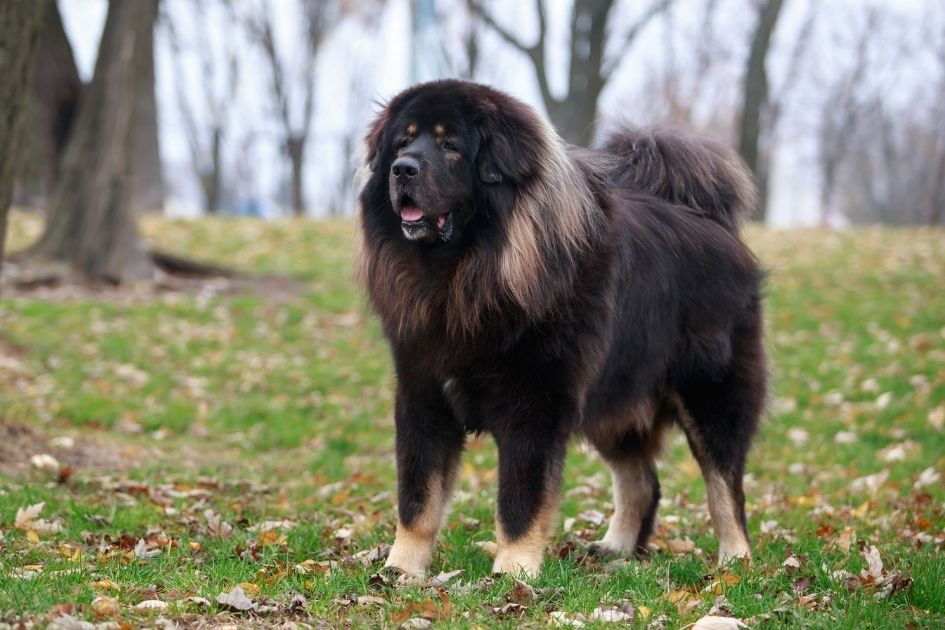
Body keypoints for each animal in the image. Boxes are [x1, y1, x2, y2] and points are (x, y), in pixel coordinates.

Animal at [358, 80, 764, 584]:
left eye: (450, 145)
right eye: (403, 143)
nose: (403, 169)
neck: (463, 276)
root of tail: (713, 224)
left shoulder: (536, 406)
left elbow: (520, 501)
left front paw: (512, 572)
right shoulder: (423, 397)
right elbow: (417, 498)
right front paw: (400, 570)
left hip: (710, 398)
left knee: (725, 487)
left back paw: (735, 561)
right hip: (614, 403)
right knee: (641, 482)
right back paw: (616, 549)